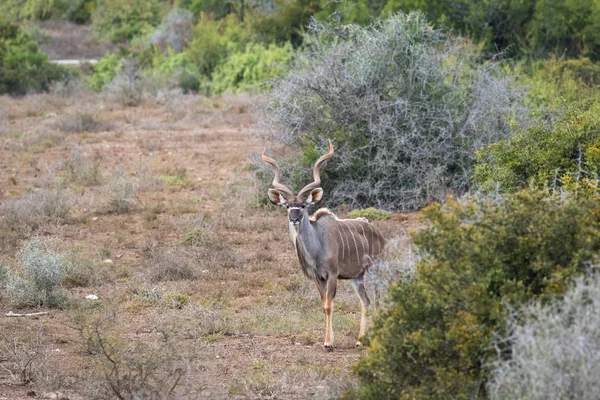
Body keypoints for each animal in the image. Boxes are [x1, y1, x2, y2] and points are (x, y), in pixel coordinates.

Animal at [262, 141, 384, 350]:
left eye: (303, 205)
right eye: (287, 206)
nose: (294, 218)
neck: (317, 246)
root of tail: (378, 233)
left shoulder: (332, 275)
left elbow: (329, 305)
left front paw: (328, 343)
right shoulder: (317, 277)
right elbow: (323, 304)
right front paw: (328, 340)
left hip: (375, 269)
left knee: (376, 300)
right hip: (357, 277)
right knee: (366, 301)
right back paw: (360, 340)